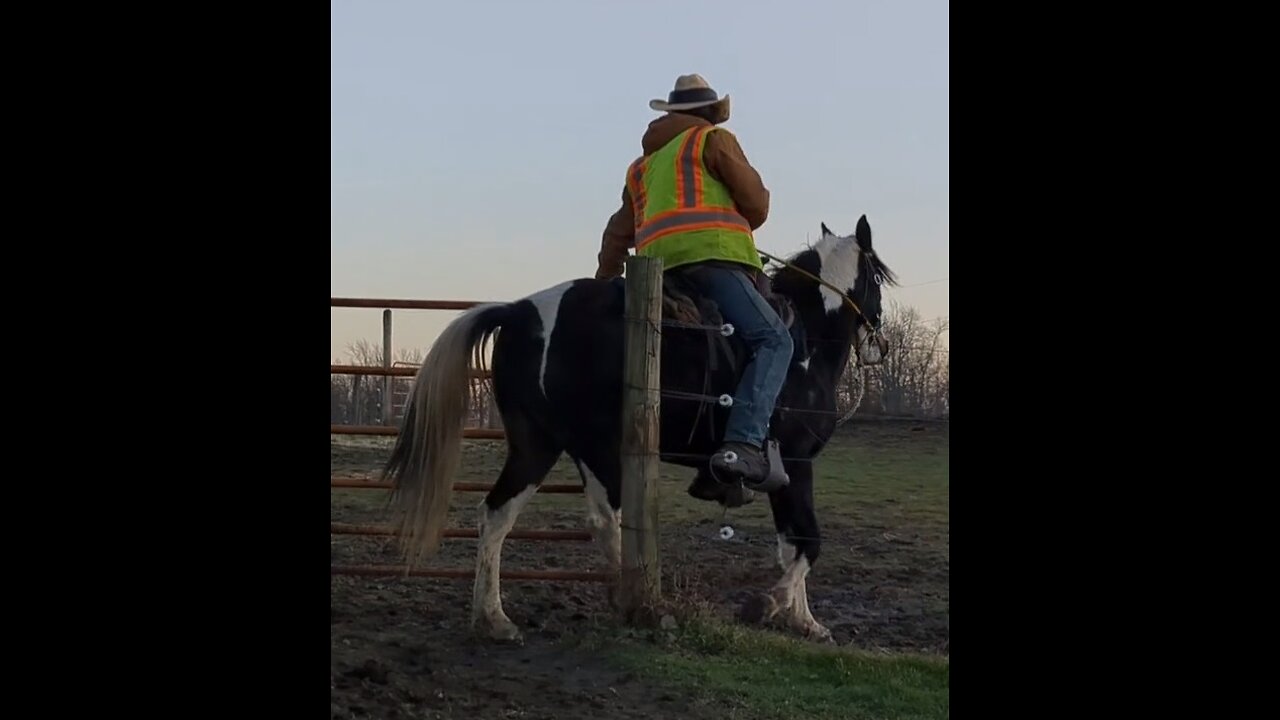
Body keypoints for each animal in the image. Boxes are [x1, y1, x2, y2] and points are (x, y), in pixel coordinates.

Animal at [384, 212, 896, 638]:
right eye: (877, 276)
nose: (881, 345)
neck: (807, 341)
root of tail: (519, 311)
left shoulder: (784, 471)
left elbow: (792, 542)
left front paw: (805, 622)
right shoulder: (795, 462)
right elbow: (808, 542)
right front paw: (771, 606)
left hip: (539, 444)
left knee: (496, 516)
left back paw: (493, 616)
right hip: (598, 445)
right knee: (607, 521)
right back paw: (645, 602)